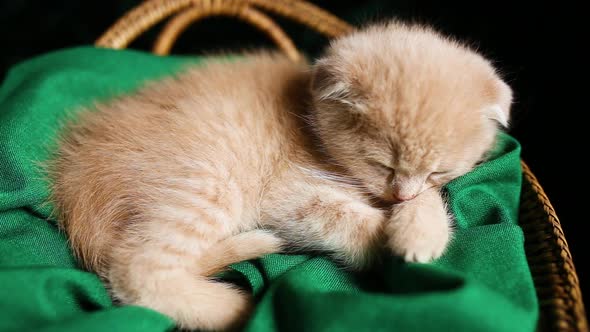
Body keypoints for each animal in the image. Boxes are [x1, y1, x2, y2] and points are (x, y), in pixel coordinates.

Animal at [48, 22, 512, 330]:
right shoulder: (288, 196)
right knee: (135, 270)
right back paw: (233, 307)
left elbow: (426, 199)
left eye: (438, 170)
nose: (399, 196)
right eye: (382, 164)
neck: (307, 118)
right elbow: (344, 217)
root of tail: (74, 190)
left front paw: (420, 231)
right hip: (209, 184)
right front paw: (386, 240)